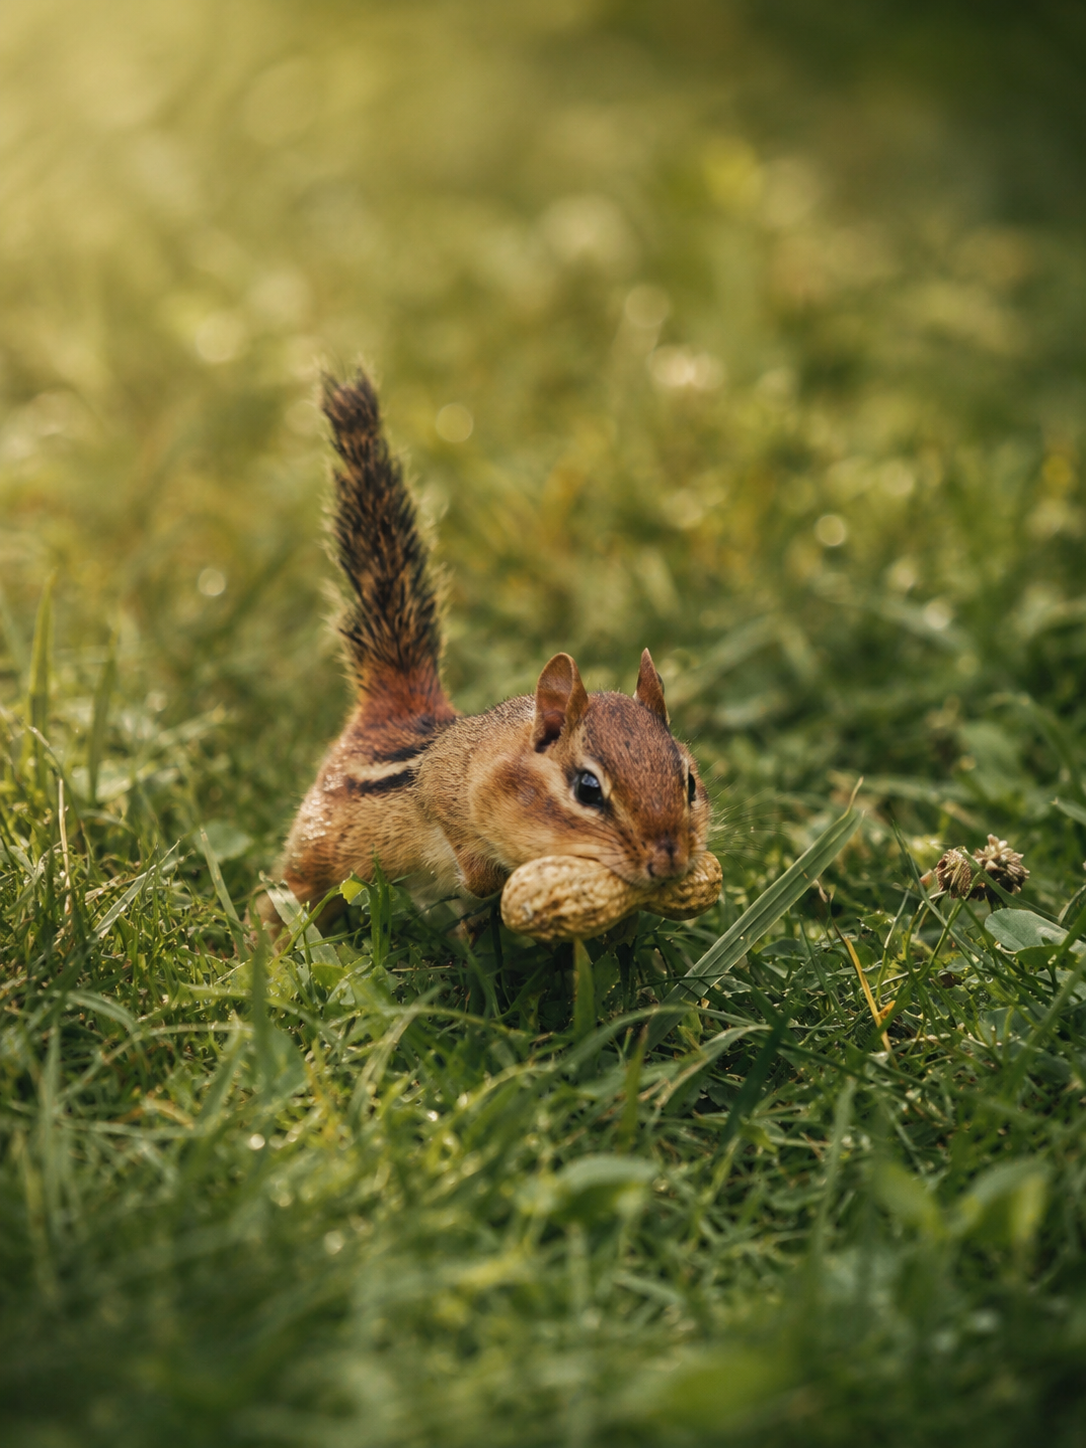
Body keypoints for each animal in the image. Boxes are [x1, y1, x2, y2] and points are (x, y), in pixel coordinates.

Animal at [257, 370, 711, 936]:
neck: (497, 758)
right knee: (287, 894)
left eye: (688, 782)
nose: (668, 859)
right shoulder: (441, 790)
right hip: (316, 856)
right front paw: (490, 882)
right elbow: (471, 865)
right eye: (587, 789)